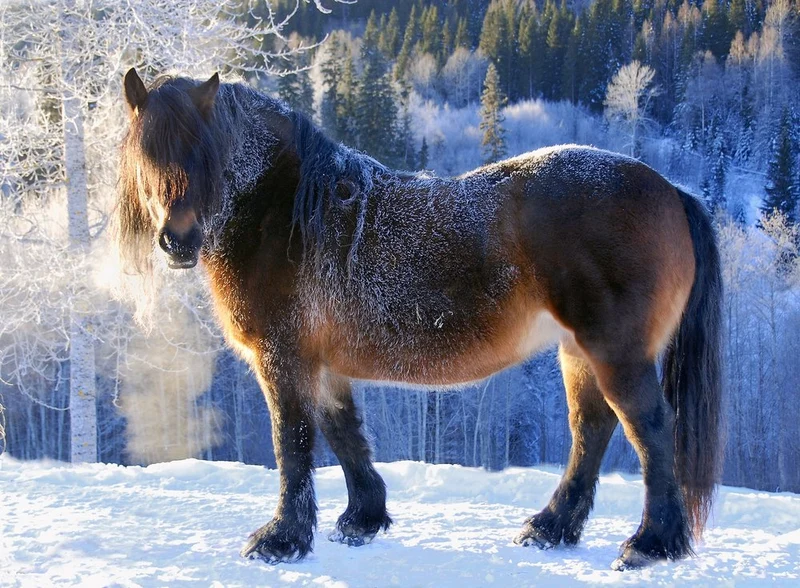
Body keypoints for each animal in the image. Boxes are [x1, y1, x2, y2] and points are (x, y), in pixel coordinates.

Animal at [116, 68, 722, 571]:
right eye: (146, 153)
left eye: (206, 153)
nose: (177, 241)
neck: (285, 212)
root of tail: (671, 190)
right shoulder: (322, 364)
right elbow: (344, 432)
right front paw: (362, 519)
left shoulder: (283, 358)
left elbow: (293, 441)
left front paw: (282, 539)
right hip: (577, 353)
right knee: (590, 432)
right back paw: (551, 528)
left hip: (615, 352)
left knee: (649, 429)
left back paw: (651, 543)